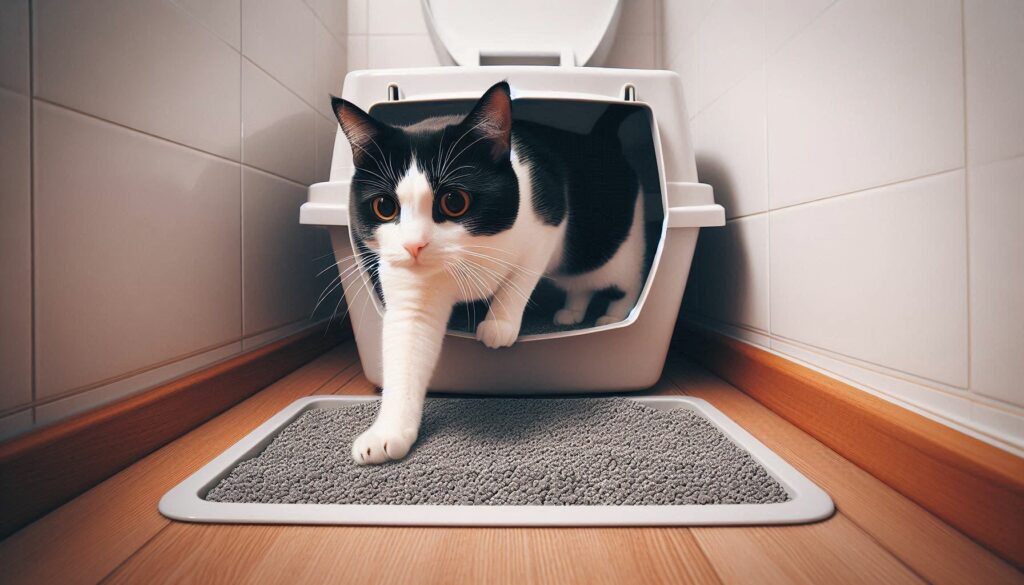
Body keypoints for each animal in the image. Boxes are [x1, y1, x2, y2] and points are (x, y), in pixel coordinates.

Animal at [331, 82, 643, 465]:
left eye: (454, 202)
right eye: (384, 207)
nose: (414, 245)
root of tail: (599, 137)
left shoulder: (548, 223)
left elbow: (519, 277)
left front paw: (499, 323)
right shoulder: (409, 292)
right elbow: (405, 352)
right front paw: (388, 432)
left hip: (616, 247)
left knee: (627, 280)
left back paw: (614, 314)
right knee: (579, 282)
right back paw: (572, 311)